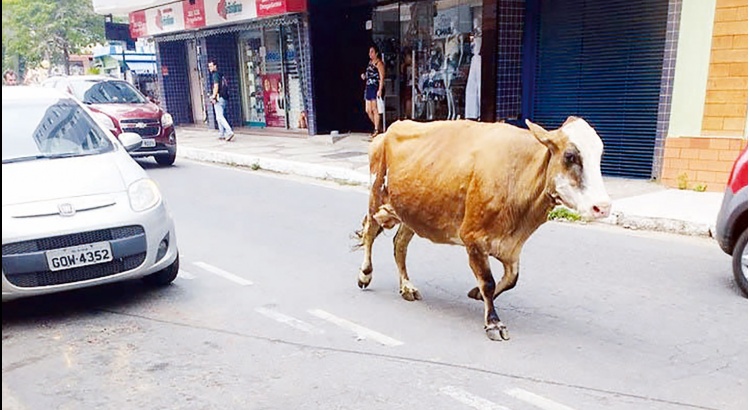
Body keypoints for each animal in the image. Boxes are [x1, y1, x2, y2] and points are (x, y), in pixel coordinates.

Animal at [352, 117, 612, 342]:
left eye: (599, 155)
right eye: (570, 156)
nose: (603, 207)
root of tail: (391, 129)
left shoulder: (511, 247)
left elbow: (511, 279)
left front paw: (476, 294)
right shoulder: (473, 239)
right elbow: (488, 281)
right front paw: (493, 323)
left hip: (412, 212)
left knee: (399, 244)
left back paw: (407, 286)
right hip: (377, 197)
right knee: (370, 233)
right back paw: (365, 274)